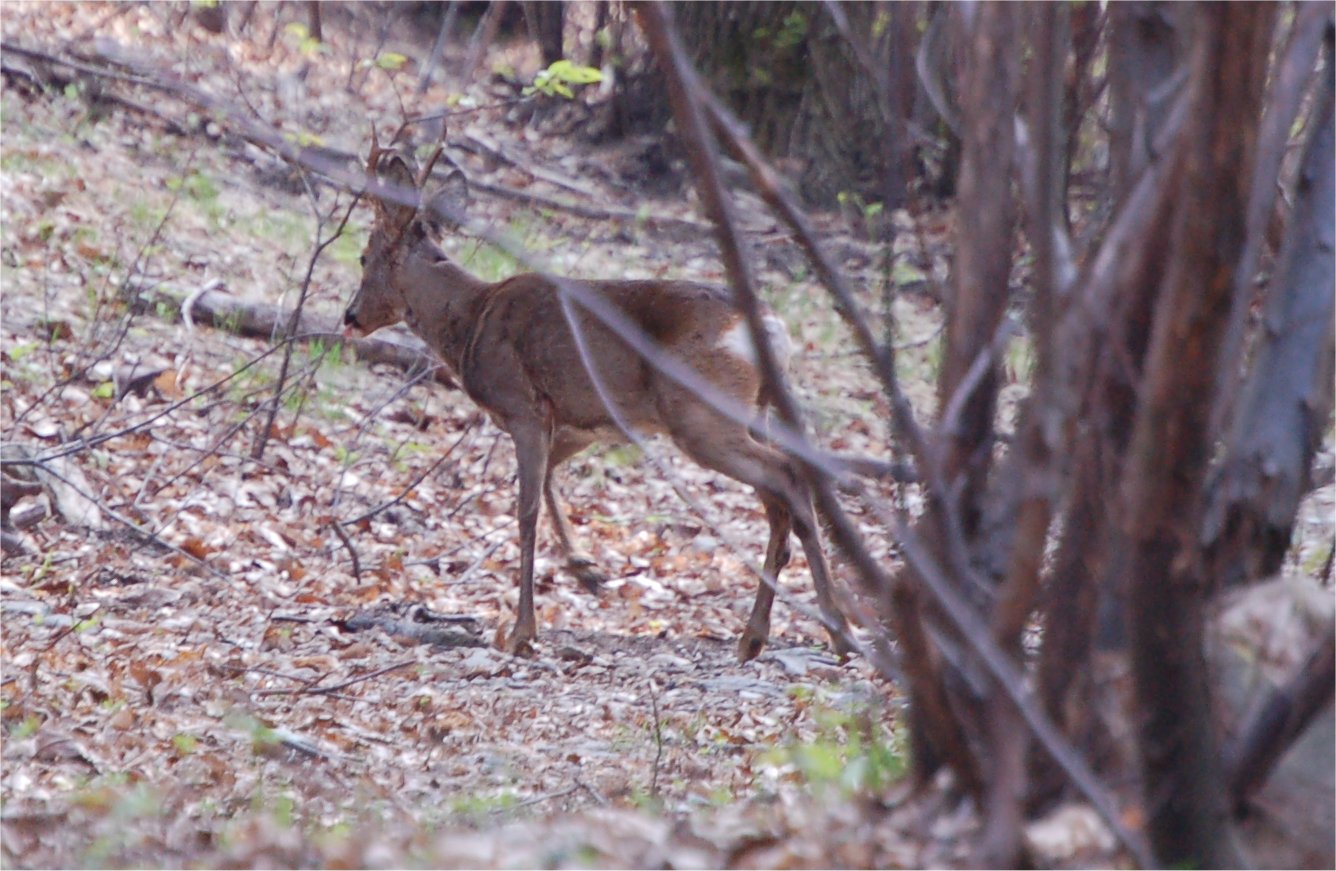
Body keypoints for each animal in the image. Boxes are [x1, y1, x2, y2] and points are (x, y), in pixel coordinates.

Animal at [339, 139, 849, 662]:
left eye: (363, 256)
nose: (351, 316)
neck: (469, 321)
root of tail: (772, 331)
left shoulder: (523, 407)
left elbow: (525, 513)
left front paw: (523, 631)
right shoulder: (575, 421)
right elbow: (548, 485)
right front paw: (585, 568)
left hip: (701, 414)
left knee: (786, 475)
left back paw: (836, 632)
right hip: (753, 412)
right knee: (778, 497)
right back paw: (756, 636)